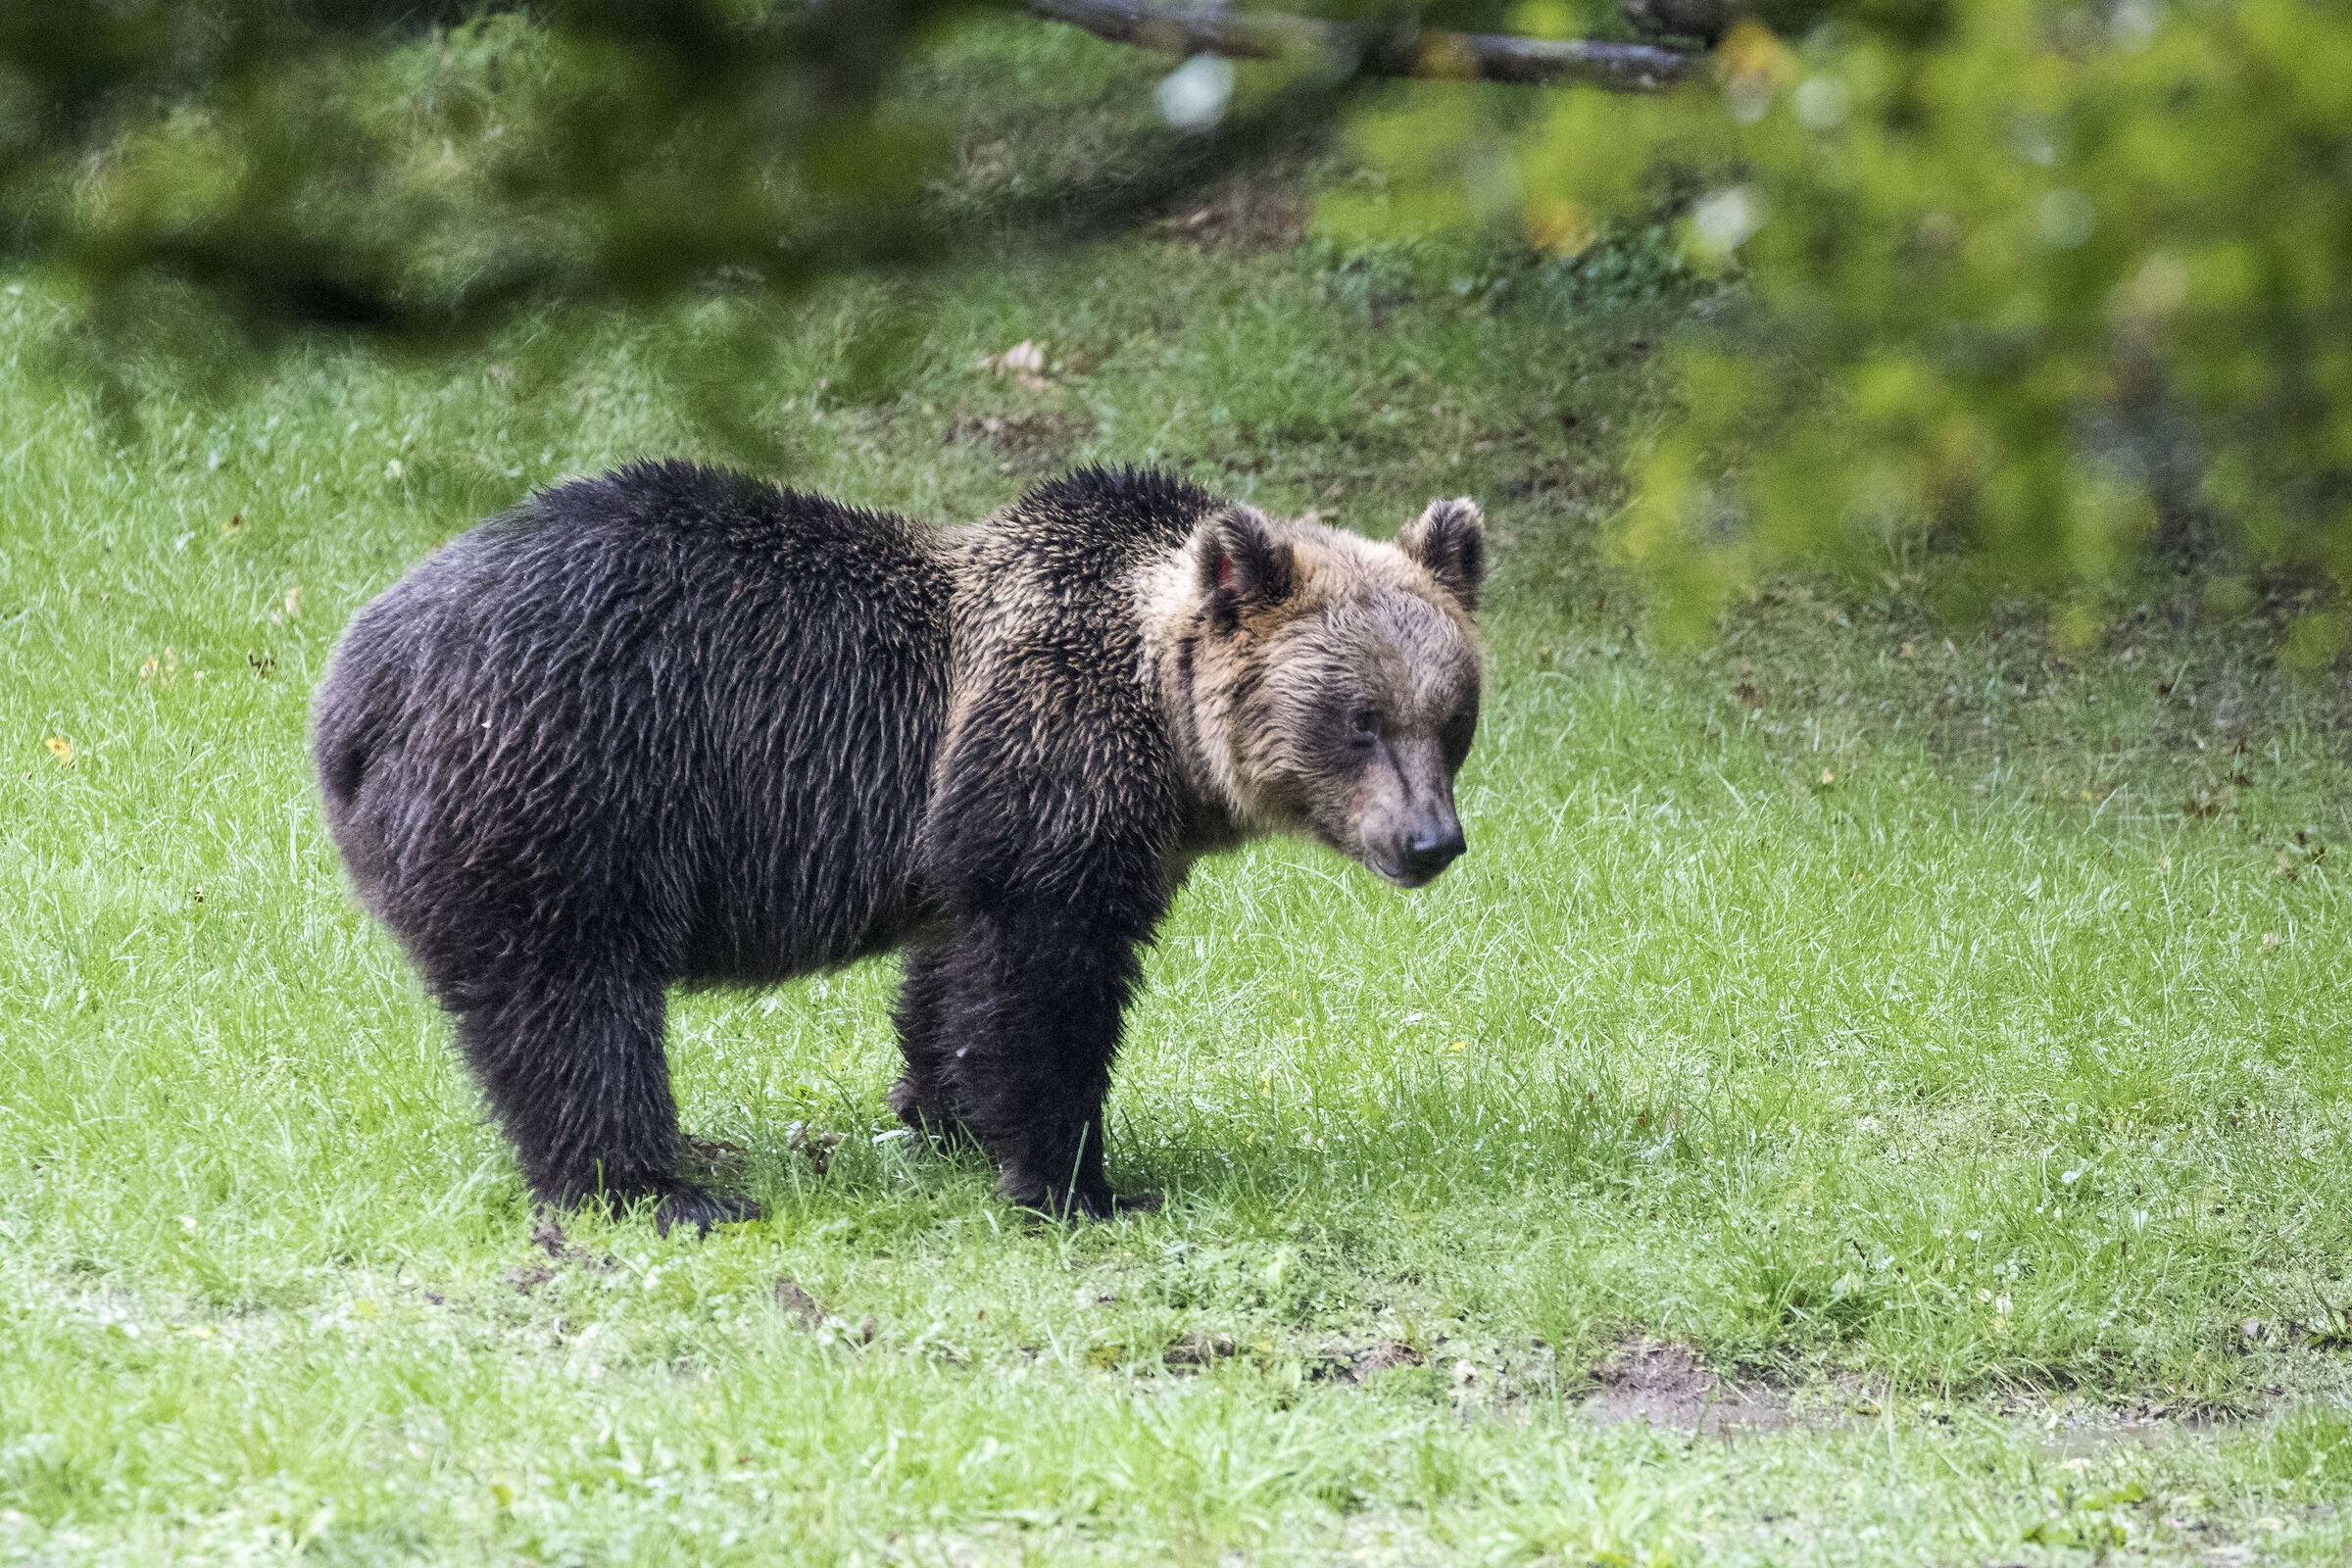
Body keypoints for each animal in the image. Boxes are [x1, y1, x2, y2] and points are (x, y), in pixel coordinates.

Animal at [313, 462, 1485, 1232]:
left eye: (1452, 714)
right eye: (1360, 719)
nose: (1430, 840)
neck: (1162, 723)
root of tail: (352, 690)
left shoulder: (973, 825)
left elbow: (958, 975)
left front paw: (945, 1114)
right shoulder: (1050, 762)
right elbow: (1049, 986)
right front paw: (1082, 1183)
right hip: (563, 779)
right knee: (571, 1000)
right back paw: (659, 1187)